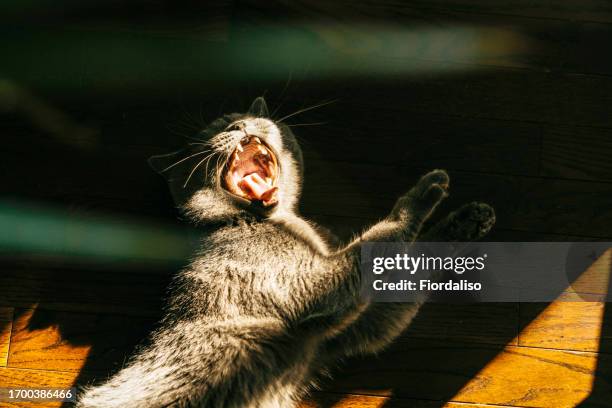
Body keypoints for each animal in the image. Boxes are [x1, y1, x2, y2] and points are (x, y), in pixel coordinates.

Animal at [77, 98, 498, 408]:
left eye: (242, 118)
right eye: (207, 137)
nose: (237, 127)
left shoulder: (348, 333)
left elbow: (408, 269)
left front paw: (469, 220)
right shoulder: (315, 286)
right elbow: (381, 237)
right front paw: (426, 189)